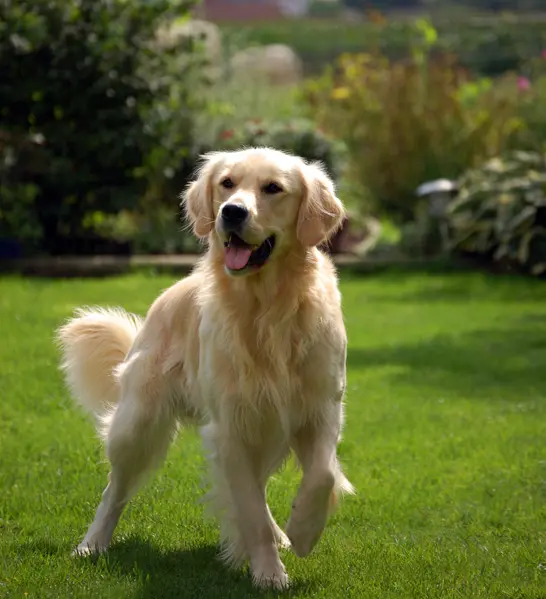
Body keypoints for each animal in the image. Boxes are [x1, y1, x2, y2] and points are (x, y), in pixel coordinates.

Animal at [56, 146, 352, 592]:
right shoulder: (232, 426)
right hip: (137, 425)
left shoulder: (319, 409)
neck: (266, 309)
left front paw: (302, 530)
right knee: (113, 491)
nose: (232, 212)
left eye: (273, 188)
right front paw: (268, 572)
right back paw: (91, 544)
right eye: (227, 184)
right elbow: (249, 509)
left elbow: (322, 477)